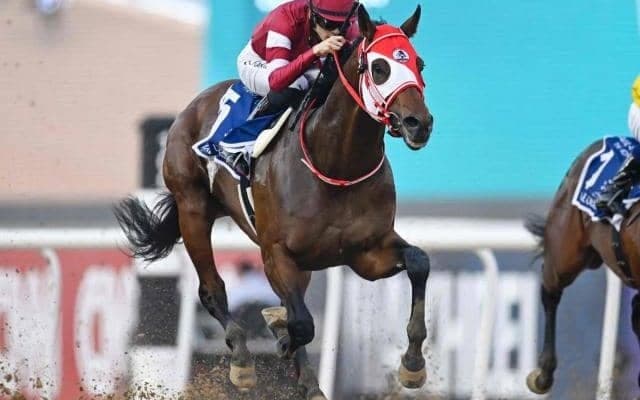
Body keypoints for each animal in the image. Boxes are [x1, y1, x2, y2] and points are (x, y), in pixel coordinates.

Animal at [114, 5, 434, 399]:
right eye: (379, 67)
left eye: (419, 63)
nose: (419, 123)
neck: (336, 165)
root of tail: (196, 104)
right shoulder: (276, 253)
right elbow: (302, 323)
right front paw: (280, 337)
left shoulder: (367, 253)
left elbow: (419, 262)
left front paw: (413, 365)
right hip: (192, 208)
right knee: (212, 289)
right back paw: (243, 360)